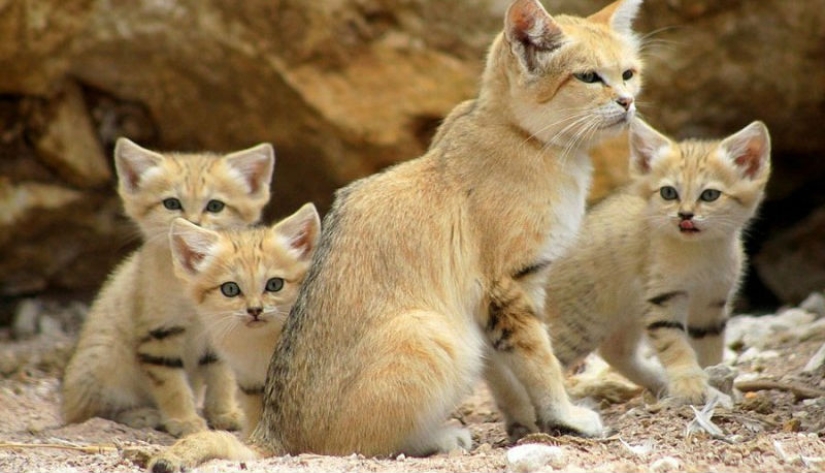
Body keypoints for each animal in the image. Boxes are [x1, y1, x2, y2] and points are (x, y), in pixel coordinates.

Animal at [62, 138, 274, 436]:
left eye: (215, 206)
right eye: (171, 203)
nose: (192, 223)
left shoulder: (219, 334)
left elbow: (222, 378)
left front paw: (224, 413)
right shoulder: (158, 334)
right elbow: (172, 385)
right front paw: (184, 421)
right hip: (106, 359)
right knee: (89, 412)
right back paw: (140, 415)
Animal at [544, 117, 768, 402]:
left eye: (710, 195)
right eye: (668, 192)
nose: (685, 215)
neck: (701, 253)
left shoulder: (710, 306)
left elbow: (709, 350)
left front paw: (716, 382)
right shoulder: (663, 299)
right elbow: (676, 346)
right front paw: (690, 385)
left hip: (625, 315)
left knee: (614, 351)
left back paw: (657, 382)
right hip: (580, 324)